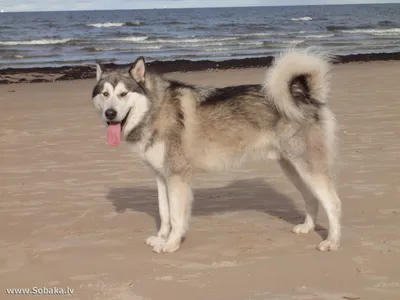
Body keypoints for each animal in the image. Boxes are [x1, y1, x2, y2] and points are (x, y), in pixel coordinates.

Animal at [92, 48, 342, 254]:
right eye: (105, 94)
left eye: (123, 94)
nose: (110, 114)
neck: (155, 108)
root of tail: (304, 94)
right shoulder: (161, 176)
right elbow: (164, 213)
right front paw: (161, 238)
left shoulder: (177, 177)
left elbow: (176, 216)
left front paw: (171, 244)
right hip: (293, 168)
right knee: (311, 198)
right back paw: (308, 227)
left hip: (308, 168)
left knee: (333, 202)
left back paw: (332, 241)